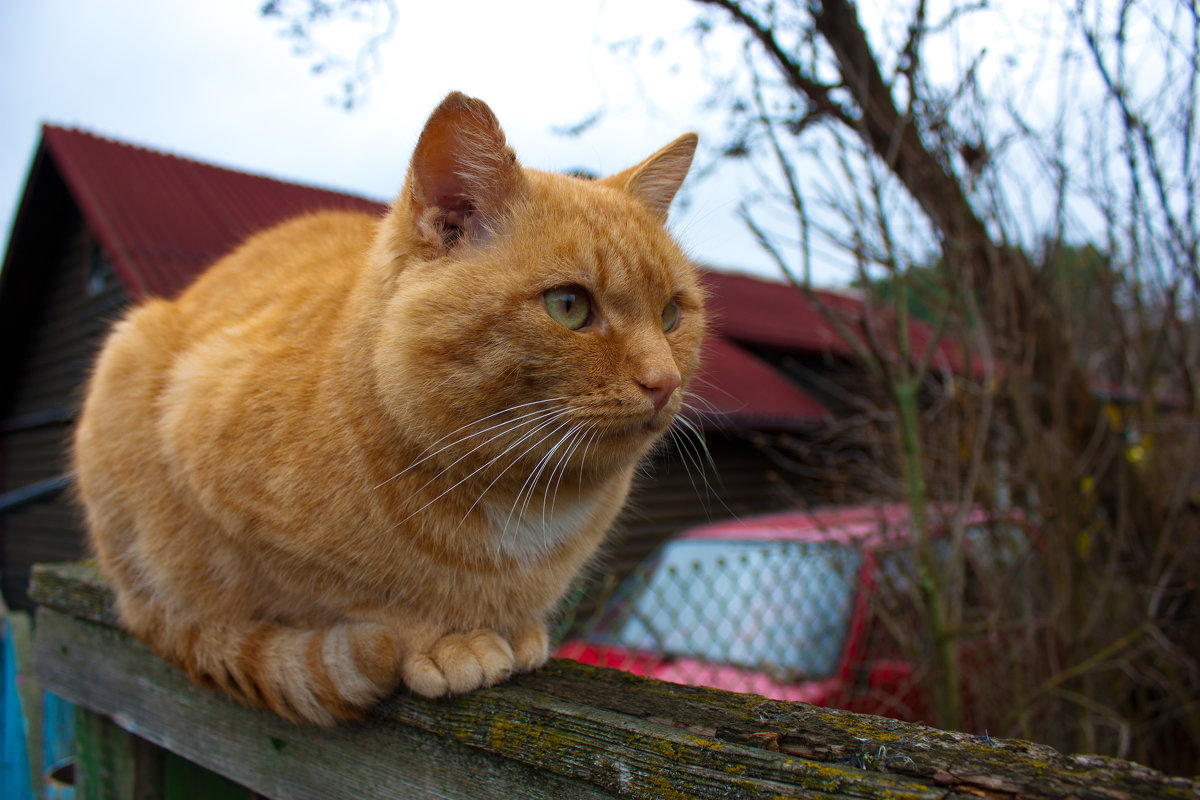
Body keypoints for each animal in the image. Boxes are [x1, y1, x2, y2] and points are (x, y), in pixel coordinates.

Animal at [72, 92, 700, 724]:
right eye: (569, 305)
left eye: (671, 314)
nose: (664, 382)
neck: (522, 500)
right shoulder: (218, 483)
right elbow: (362, 599)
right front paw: (447, 639)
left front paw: (514, 629)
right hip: (129, 373)